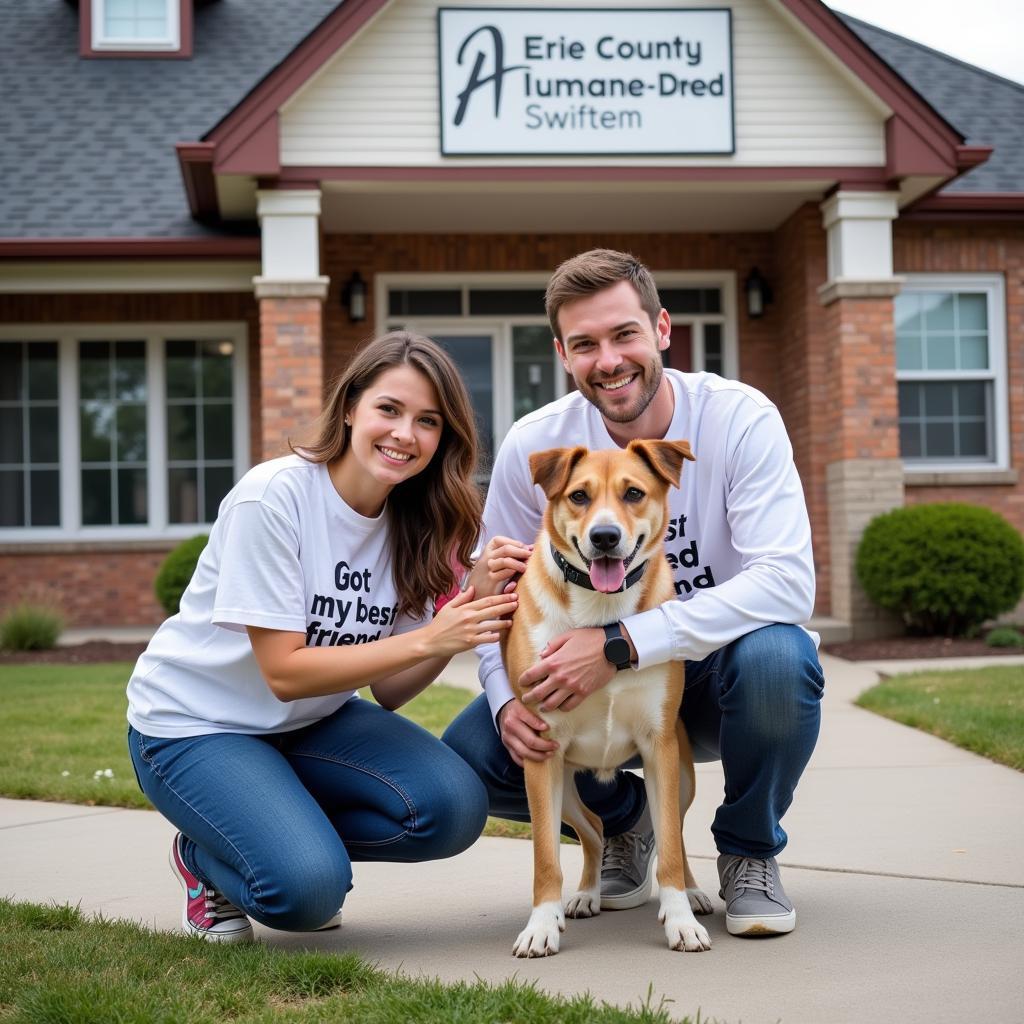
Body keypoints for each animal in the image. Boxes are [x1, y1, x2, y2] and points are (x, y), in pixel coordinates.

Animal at [501, 440, 712, 958]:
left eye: (633, 492)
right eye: (579, 495)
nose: (604, 536)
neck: (602, 618)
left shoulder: (659, 747)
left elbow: (671, 849)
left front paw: (680, 921)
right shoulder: (541, 754)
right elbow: (545, 856)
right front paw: (541, 925)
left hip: (681, 776)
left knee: (675, 832)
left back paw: (695, 894)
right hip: (558, 783)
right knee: (595, 829)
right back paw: (581, 897)